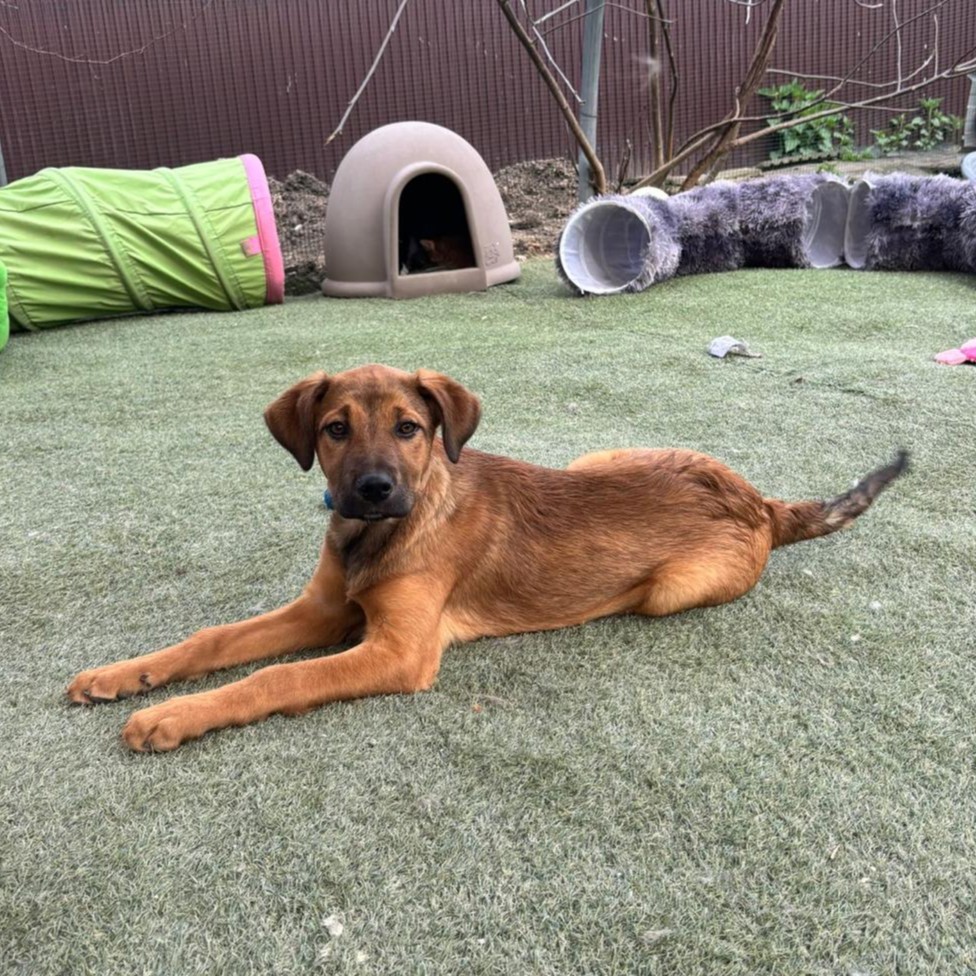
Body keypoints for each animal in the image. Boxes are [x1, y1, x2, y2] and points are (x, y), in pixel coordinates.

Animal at [68, 364, 908, 751]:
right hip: (597, 455)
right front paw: (123, 675)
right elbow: (213, 641)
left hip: (665, 590)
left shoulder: (399, 652)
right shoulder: (323, 610)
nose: (371, 491)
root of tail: (761, 501)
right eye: (336, 429)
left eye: (408, 428)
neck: (383, 536)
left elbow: (273, 678)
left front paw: (170, 717)